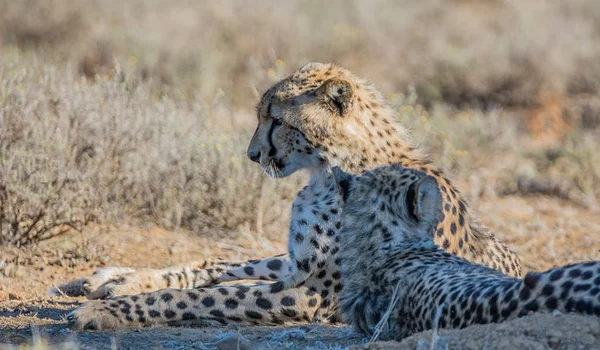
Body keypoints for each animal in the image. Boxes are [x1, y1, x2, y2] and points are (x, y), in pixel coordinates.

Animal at [64, 63, 520, 330]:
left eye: (277, 120)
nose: (252, 155)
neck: (326, 172)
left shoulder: (316, 292)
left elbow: (208, 294)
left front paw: (106, 312)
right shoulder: (299, 264)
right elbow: (219, 269)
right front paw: (121, 281)